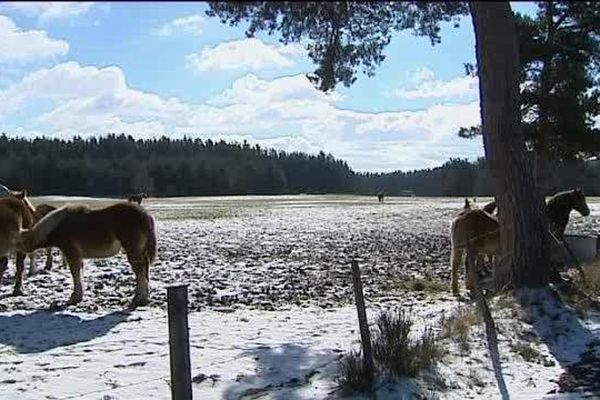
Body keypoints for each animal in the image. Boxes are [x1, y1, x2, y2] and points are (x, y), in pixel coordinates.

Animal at [16, 202, 157, 308]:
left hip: (133, 251)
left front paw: (74, 298)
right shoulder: (77, 256)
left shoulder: (71, 254)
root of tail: (146, 215)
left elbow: (75, 274)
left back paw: (137, 300)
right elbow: (79, 273)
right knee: (145, 270)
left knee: (140, 271)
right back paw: (144, 299)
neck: (57, 226)